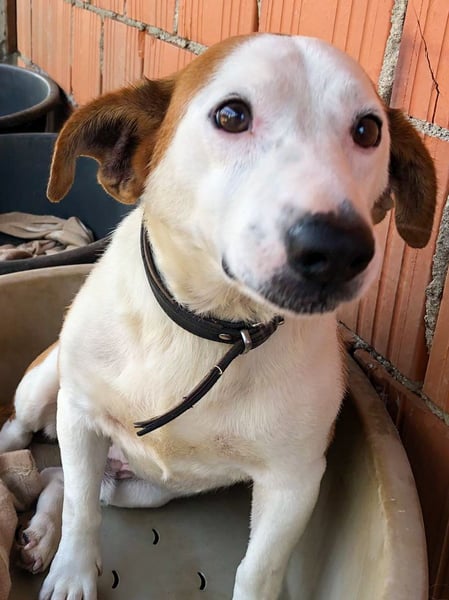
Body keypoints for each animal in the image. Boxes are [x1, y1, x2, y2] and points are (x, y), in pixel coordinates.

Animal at [0, 33, 436, 599]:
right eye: (231, 115)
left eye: (368, 130)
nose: (340, 249)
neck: (211, 326)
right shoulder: (78, 415)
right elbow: (81, 514)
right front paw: (72, 573)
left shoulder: (293, 483)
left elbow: (258, 570)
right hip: (46, 384)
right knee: (28, 443)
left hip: (140, 491)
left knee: (57, 480)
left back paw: (38, 533)